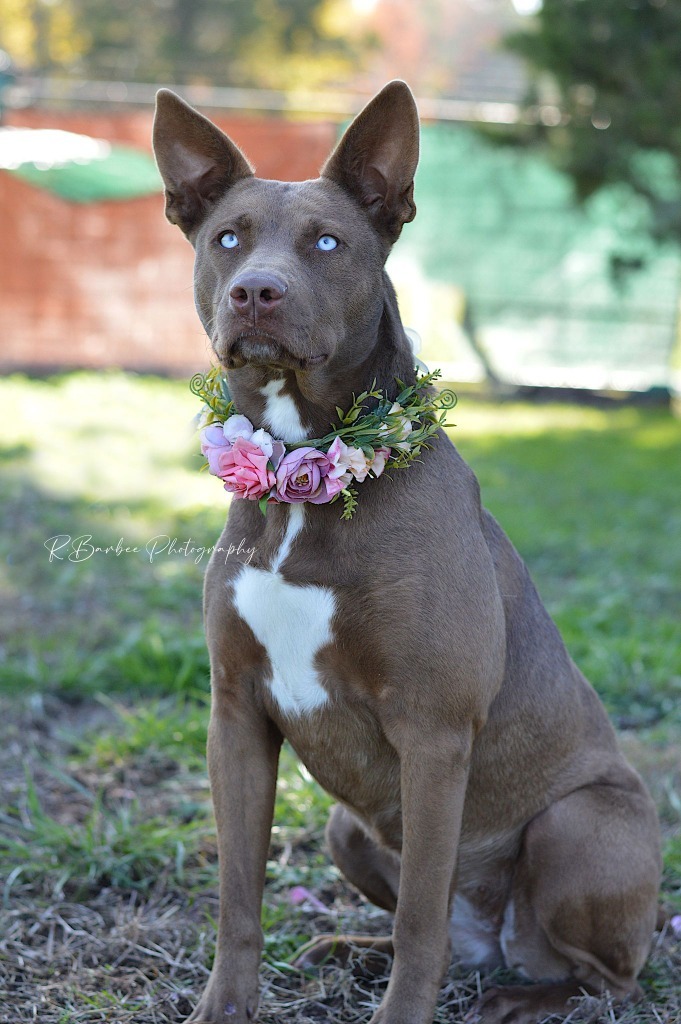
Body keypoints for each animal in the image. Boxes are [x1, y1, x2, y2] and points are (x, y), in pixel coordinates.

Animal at [152, 81, 659, 1024]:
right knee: (443, 938)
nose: (255, 292)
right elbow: (239, 898)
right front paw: (223, 1006)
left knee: (596, 975)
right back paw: (355, 949)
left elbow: (422, 918)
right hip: (346, 827)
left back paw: (520, 997)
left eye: (328, 242)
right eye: (227, 237)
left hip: (579, 824)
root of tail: (500, 945)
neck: (303, 484)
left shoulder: (432, 733)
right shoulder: (235, 716)